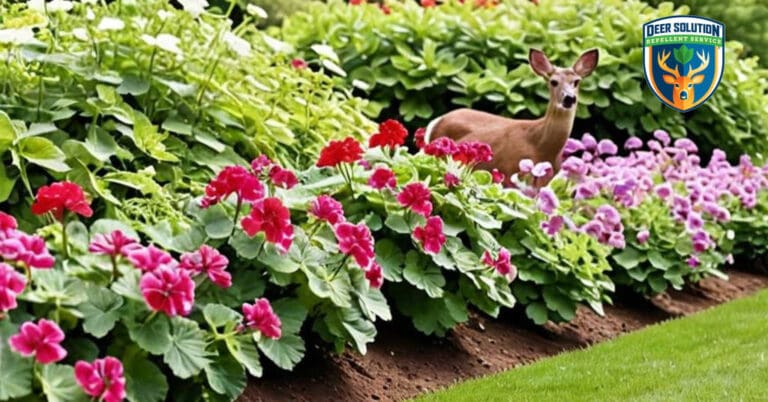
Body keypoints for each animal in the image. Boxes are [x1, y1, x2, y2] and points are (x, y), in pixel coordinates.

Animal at [424, 49, 599, 187]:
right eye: (553, 82)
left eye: (576, 81)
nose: (569, 98)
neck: (540, 145)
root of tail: (437, 121)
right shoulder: (510, 172)